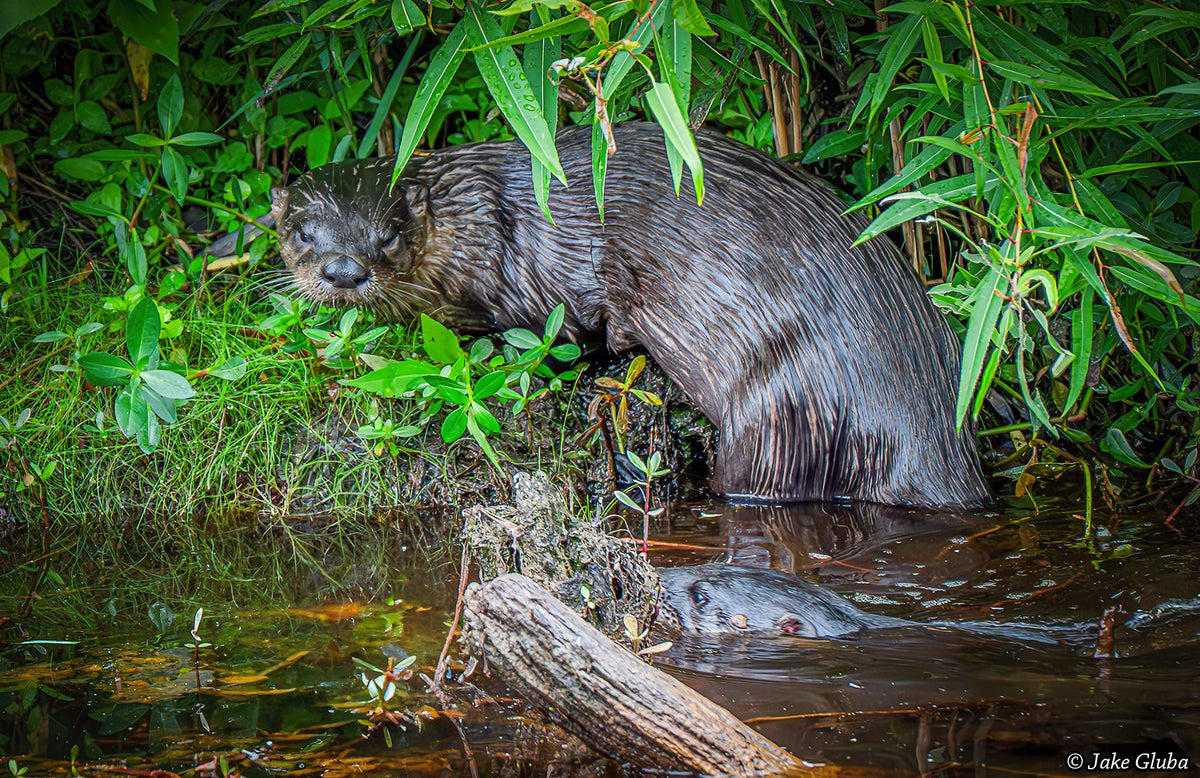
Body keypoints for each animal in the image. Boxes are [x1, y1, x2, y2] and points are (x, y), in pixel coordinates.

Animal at [272, 122, 991, 508]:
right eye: (304, 231)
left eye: (389, 234)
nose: (344, 271)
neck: (476, 224)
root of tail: (930, 431)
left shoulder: (551, 288)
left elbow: (574, 334)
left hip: (786, 413)